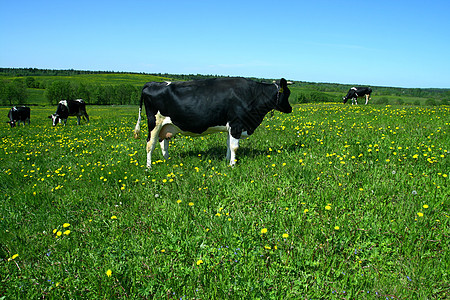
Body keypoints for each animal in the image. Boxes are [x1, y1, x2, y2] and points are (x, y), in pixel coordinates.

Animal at [133, 77, 292, 169]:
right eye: (287, 93)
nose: (290, 109)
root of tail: (151, 83)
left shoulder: (231, 127)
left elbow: (228, 145)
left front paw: (227, 160)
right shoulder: (237, 124)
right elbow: (234, 147)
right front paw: (233, 165)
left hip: (165, 126)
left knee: (163, 143)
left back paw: (167, 161)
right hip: (154, 123)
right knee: (150, 144)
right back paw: (149, 167)